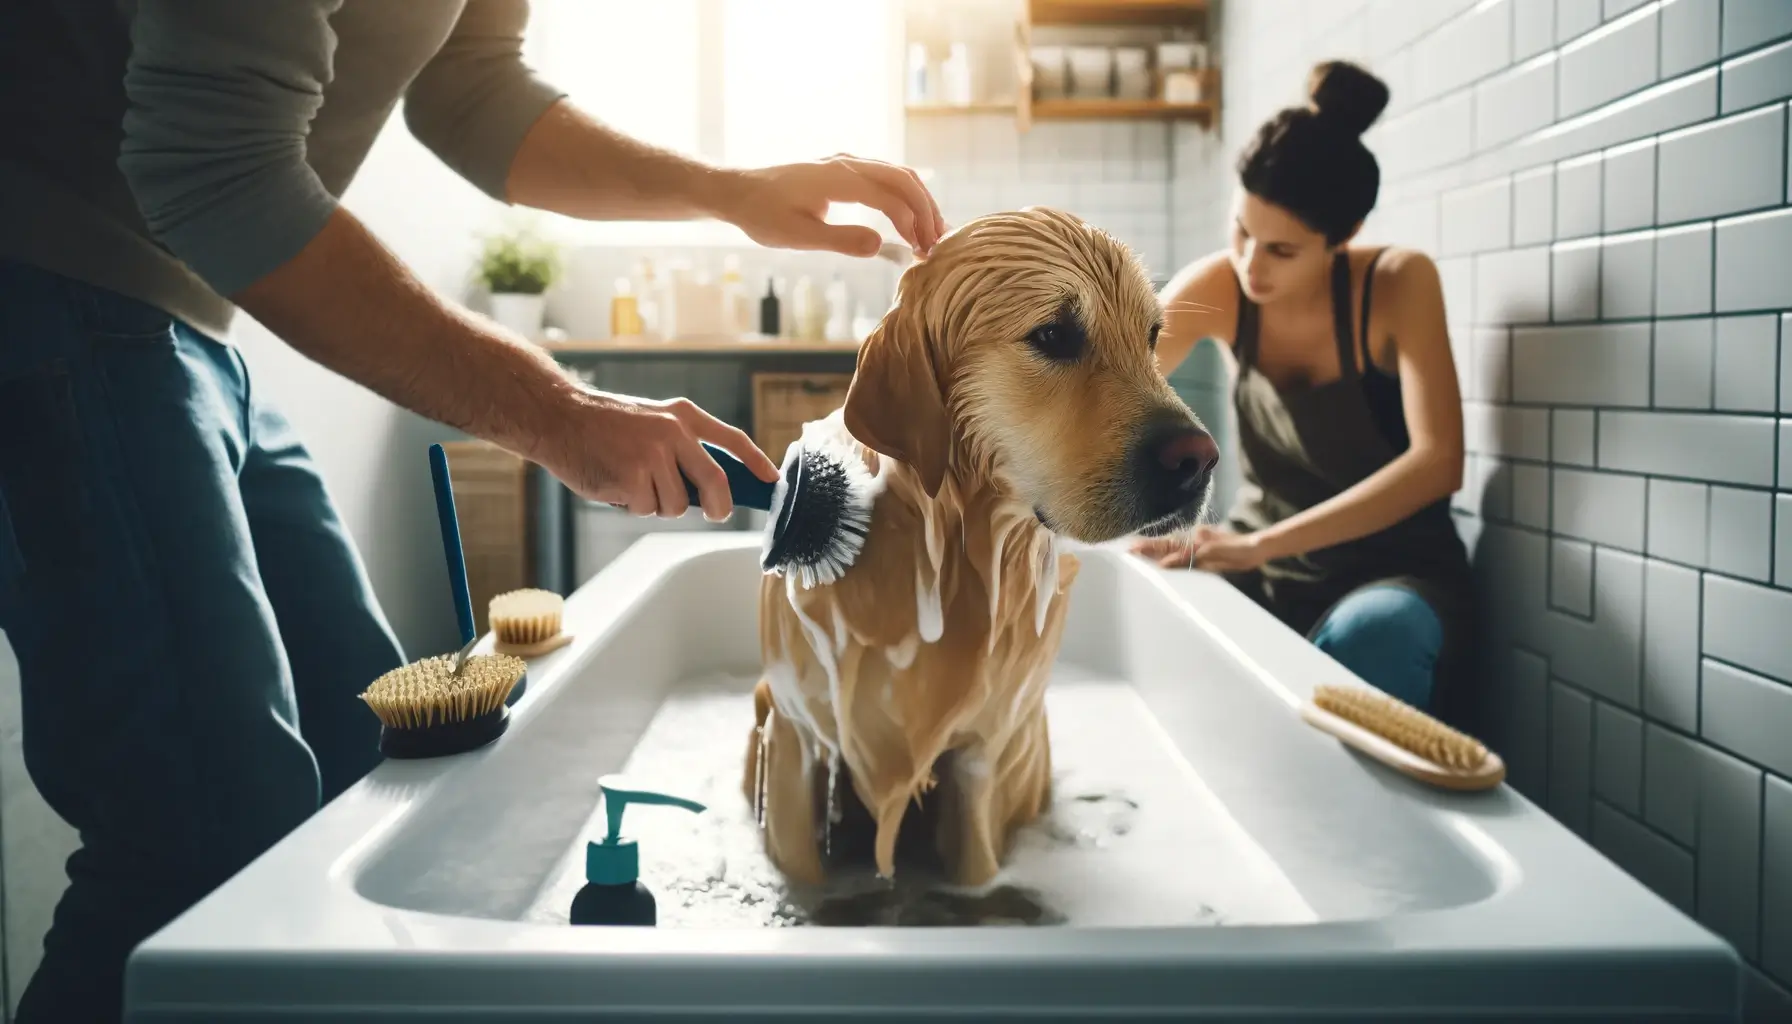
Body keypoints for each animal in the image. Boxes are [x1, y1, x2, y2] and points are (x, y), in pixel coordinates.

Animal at [741, 208, 1218, 889]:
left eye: (1152, 336)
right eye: (1054, 335)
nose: (1200, 460)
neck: (950, 556)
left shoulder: (978, 761)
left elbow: (976, 868)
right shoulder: (796, 741)